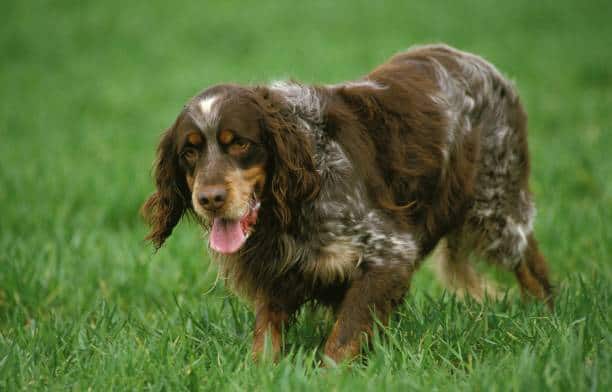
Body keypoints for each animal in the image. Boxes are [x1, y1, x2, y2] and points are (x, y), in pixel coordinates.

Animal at [143, 43, 556, 364]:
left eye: (241, 143)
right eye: (189, 152)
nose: (209, 199)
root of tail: (484, 66)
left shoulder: (389, 253)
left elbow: (340, 342)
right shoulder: (279, 272)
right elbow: (266, 339)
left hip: (497, 203)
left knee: (532, 265)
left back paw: (547, 318)